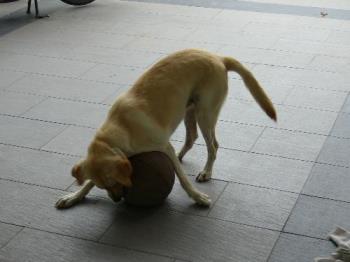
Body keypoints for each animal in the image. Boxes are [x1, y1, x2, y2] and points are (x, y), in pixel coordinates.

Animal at [56, 49, 276, 209]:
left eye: (114, 182)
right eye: (103, 186)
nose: (117, 200)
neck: (120, 129)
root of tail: (218, 57)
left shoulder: (163, 146)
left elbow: (183, 180)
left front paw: (197, 198)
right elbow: (87, 184)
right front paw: (74, 196)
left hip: (205, 113)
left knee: (213, 145)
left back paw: (206, 172)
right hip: (189, 110)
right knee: (192, 137)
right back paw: (182, 156)